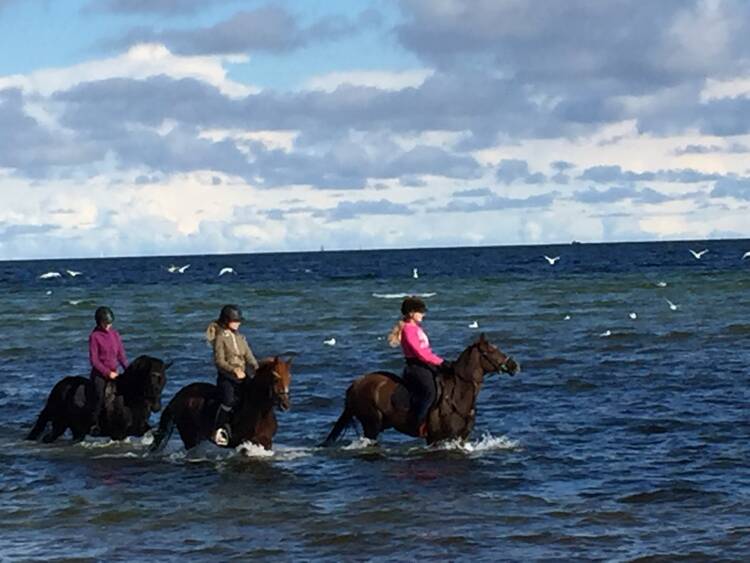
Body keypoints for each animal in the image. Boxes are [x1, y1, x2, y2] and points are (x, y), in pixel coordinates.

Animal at [26, 356, 172, 446]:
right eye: (151, 378)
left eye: (164, 380)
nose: (157, 407)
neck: (128, 397)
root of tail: (61, 385)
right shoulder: (118, 434)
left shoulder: (138, 428)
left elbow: (150, 431)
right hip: (58, 422)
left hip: (74, 428)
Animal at [150, 356, 294, 454]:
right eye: (275, 377)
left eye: (289, 377)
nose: (285, 404)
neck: (259, 411)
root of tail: (178, 397)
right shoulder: (243, 441)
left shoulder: (266, 441)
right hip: (189, 435)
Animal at [320, 334, 520, 450]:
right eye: (491, 350)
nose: (514, 365)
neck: (458, 395)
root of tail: (356, 384)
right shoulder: (436, 439)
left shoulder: (460, 438)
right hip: (371, 425)